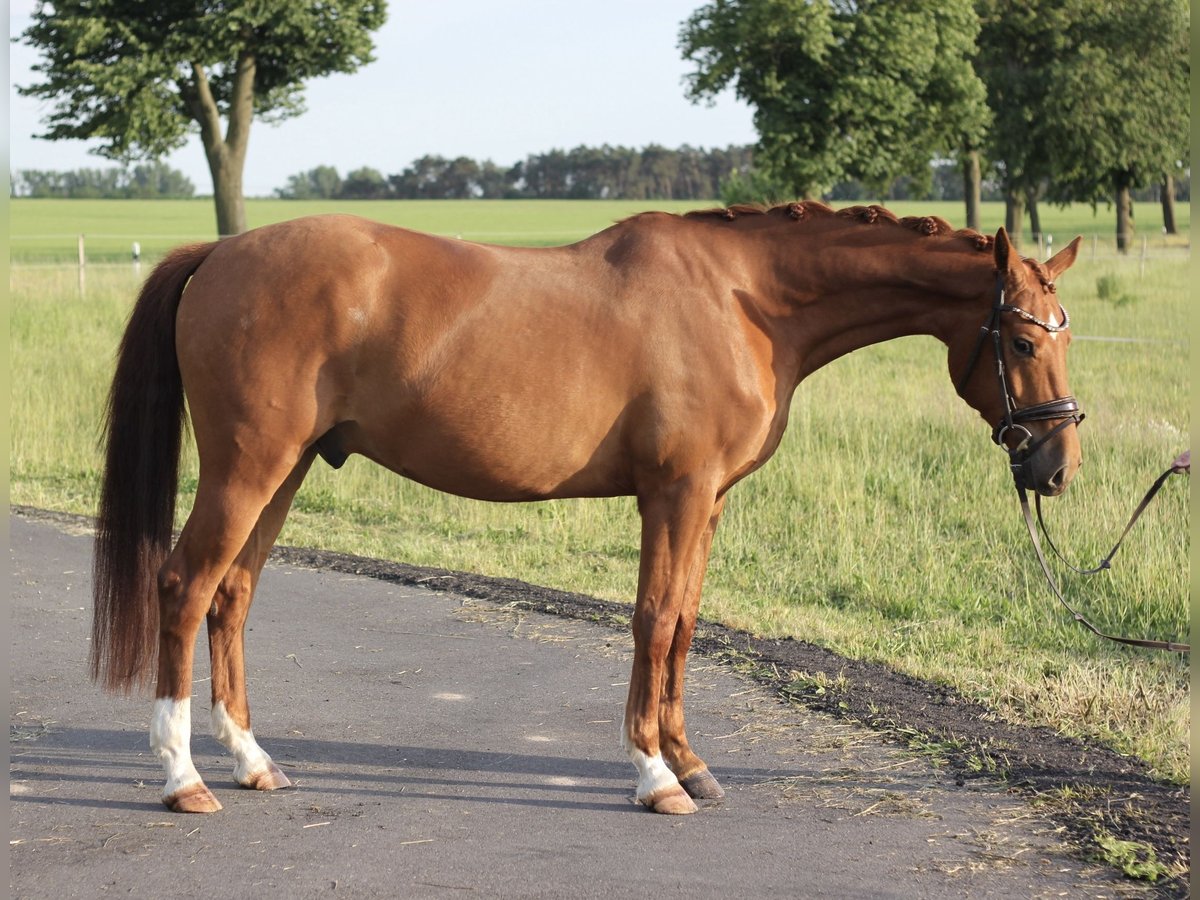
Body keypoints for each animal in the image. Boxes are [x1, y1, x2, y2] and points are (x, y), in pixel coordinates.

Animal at [93, 202, 1084, 816]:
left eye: (1061, 331)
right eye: (1021, 338)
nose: (1056, 464)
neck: (744, 303)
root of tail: (220, 254)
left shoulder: (707, 502)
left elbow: (686, 623)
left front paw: (692, 762)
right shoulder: (674, 493)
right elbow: (652, 619)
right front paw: (654, 775)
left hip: (287, 469)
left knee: (233, 597)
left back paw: (254, 763)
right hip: (248, 467)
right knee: (184, 587)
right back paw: (182, 777)